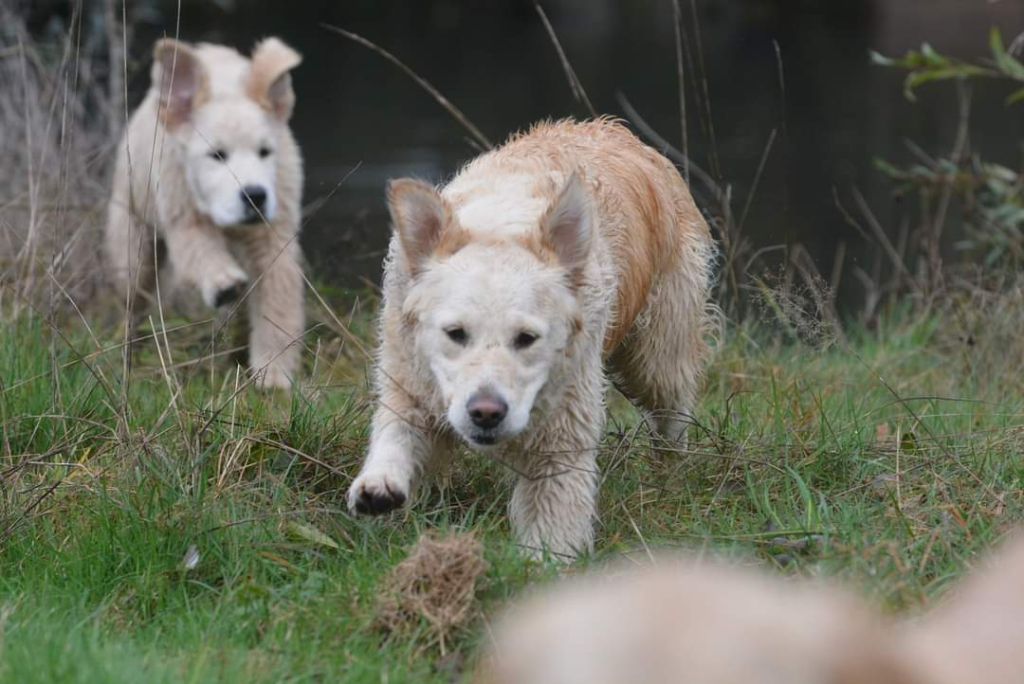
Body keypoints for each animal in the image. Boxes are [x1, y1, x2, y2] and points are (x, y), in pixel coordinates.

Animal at [108, 37, 307, 389]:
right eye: (217, 155)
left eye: (265, 152)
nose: (255, 195)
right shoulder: (182, 210)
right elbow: (200, 250)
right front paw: (223, 283)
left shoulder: (274, 234)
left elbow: (277, 300)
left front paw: (273, 373)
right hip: (132, 235)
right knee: (134, 296)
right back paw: (128, 344)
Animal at [348, 120, 716, 557]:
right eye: (456, 334)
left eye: (527, 338)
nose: (486, 412)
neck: (499, 229)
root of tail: (622, 133)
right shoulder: (412, 376)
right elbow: (398, 430)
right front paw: (379, 485)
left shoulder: (563, 421)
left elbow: (555, 507)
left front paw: (545, 559)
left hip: (657, 352)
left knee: (672, 411)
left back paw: (670, 475)